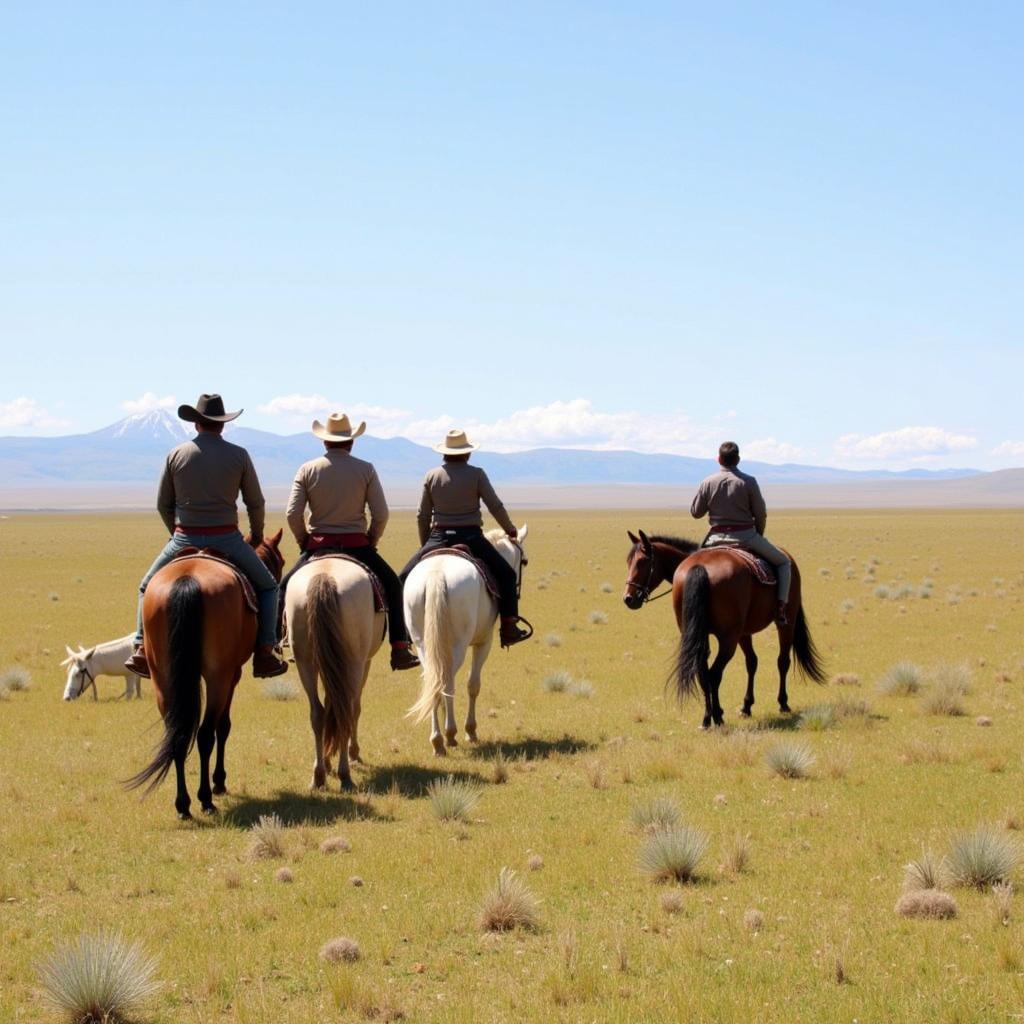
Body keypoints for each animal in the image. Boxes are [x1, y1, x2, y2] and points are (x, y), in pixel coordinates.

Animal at [124, 532, 284, 819]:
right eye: (280, 562)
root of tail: (188, 580)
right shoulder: (233, 674)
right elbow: (224, 725)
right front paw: (220, 782)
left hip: (162, 676)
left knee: (177, 735)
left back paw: (183, 804)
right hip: (218, 676)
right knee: (206, 732)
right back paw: (206, 798)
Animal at [284, 561, 385, 790]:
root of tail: (324, 576)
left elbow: (329, 703)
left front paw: (328, 760)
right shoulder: (364, 663)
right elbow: (355, 709)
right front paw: (353, 753)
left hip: (306, 663)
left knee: (318, 713)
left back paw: (319, 776)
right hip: (355, 663)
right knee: (346, 711)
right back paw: (345, 775)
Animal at [403, 528, 528, 753]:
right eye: (524, 562)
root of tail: (436, 574)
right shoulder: (483, 643)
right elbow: (473, 685)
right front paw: (470, 731)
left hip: (424, 645)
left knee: (434, 681)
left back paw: (437, 739)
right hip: (458, 646)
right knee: (446, 684)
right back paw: (450, 735)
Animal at [622, 528, 823, 729]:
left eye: (642, 562)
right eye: (629, 562)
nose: (628, 599)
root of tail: (700, 568)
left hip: (734, 633)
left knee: (717, 670)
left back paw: (713, 716)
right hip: (742, 635)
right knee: (728, 670)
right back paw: (724, 715)